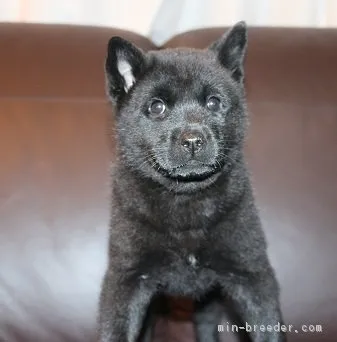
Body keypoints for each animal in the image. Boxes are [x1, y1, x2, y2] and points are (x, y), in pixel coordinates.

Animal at [98, 22, 286, 342]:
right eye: (157, 107)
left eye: (214, 102)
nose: (193, 140)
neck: (185, 198)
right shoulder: (127, 278)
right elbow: (115, 331)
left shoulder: (251, 274)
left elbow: (269, 329)